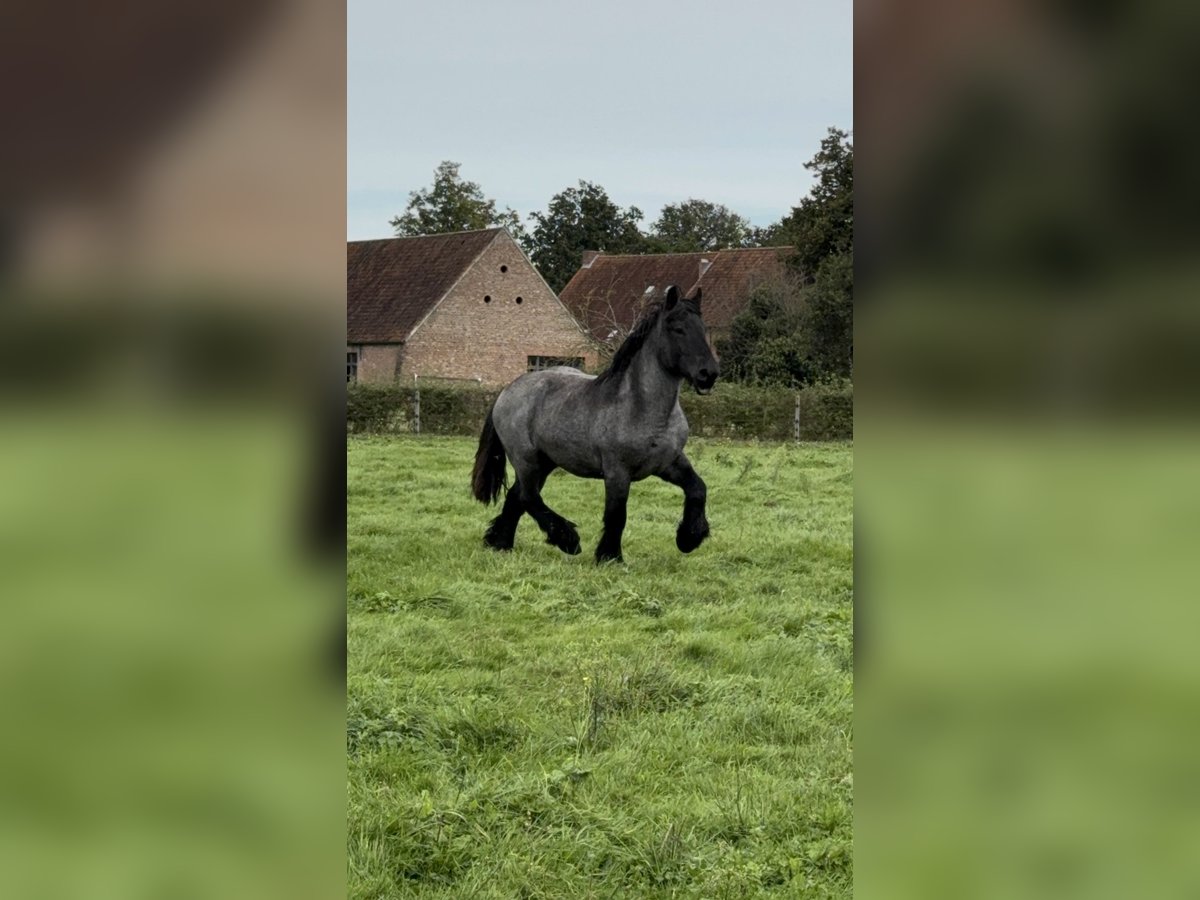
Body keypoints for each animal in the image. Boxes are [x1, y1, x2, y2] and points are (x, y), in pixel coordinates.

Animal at [468, 285, 715, 564]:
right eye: (678, 329)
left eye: (703, 329)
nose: (708, 374)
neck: (644, 410)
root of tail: (507, 391)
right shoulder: (617, 472)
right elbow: (617, 515)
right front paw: (610, 557)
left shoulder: (669, 463)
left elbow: (698, 489)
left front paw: (689, 538)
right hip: (526, 459)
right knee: (529, 497)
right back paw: (567, 540)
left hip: (544, 462)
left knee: (516, 498)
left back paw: (501, 543)